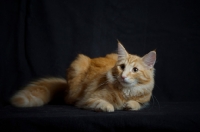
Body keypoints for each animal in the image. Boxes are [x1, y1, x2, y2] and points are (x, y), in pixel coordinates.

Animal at [10, 41, 156, 112]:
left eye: (135, 70)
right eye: (122, 67)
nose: (123, 76)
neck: (125, 92)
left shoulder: (145, 100)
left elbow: (137, 104)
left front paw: (129, 105)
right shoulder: (88, 99)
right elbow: (103, 103)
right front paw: (111, 107)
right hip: (78, 67)